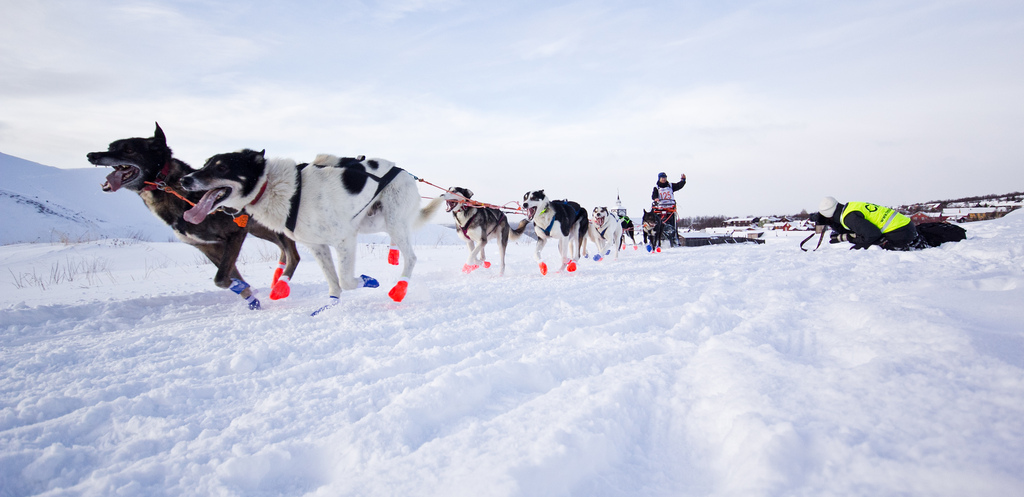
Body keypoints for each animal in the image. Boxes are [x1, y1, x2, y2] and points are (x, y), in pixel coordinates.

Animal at [87, 123, 299, 307]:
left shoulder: (235, 235)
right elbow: (227, 276)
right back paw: (277, 277)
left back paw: (281, 284)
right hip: (261, 230)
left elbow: (221, 277)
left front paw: (246, 290)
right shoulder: (207, 246)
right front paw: (250, 297)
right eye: (111, 147)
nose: (92, 155)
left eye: (128, 150)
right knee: (285, 250)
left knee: (293, 255)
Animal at [179, 148, 440, 309]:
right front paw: (332, 304)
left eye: (222, 168)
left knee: (412, 257)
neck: (282, 188)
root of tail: (404, 172)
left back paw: (400, 287)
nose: (185, 180)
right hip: (373, 221)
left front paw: (367, 280)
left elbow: (346, 280)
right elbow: (334, 282)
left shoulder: (344, 239)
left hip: (392, 220)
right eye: (204, 164)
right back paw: (393, 254)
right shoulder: (318, 246)